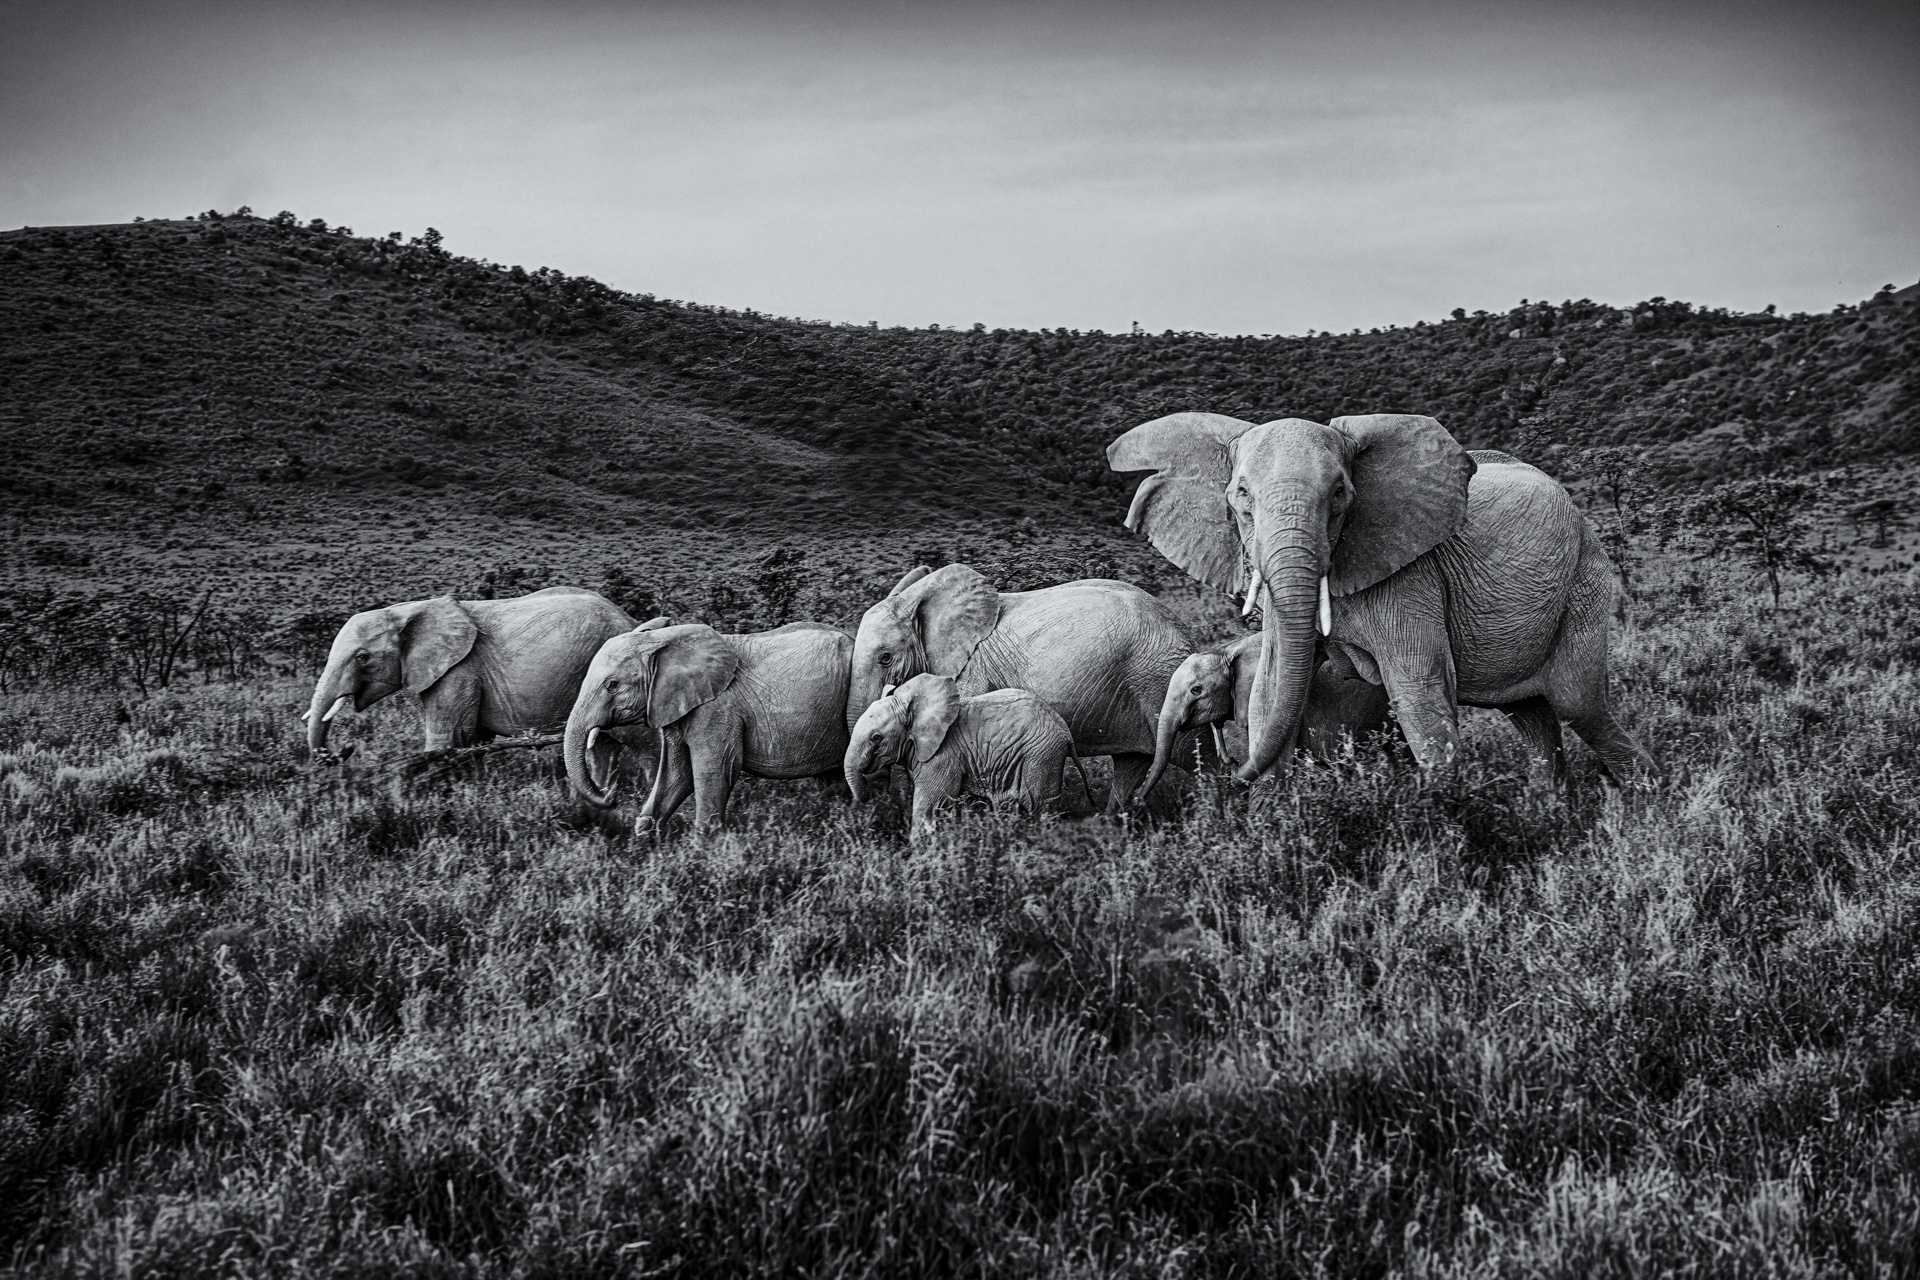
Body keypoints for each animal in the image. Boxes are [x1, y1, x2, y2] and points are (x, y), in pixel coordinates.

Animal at [304, 586, 645, 776]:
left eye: (363, 657)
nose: (346, 749)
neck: (406, 610)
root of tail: (631, 620)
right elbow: (474, 740)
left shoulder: (460, 670)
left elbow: (448, 739)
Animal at [564, 620, 852, 832]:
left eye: (612, 685)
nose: (610, 796)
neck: (662, 640)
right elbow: (677, 773)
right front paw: (646, 837)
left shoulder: (716, 710)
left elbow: (715, 769)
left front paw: (705, 845)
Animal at [845, 673, 1075, 841]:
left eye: (876, 738)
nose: (870, 797)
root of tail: (1065, 731)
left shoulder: (942, 757)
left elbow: (929, 806)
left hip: (1042, 757)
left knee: (1042, 809)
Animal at [846, 563, 1198, 811]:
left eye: (885, 657)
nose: (875, 797)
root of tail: (1184, 630)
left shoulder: (972, 673)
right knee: (1130, 766)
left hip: (1160, 680)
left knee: (1194, 750)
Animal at [1107, 414, 1655, 785]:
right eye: (1241, 496)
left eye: (1340, 495)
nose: (1231, 775)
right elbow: (1271, 686)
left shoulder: (1412, 577)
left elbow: (1419, 690)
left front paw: (1449, 828)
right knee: (1531, 715)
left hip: (1585, 577)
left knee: (1578, 704)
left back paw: (1646, 797)